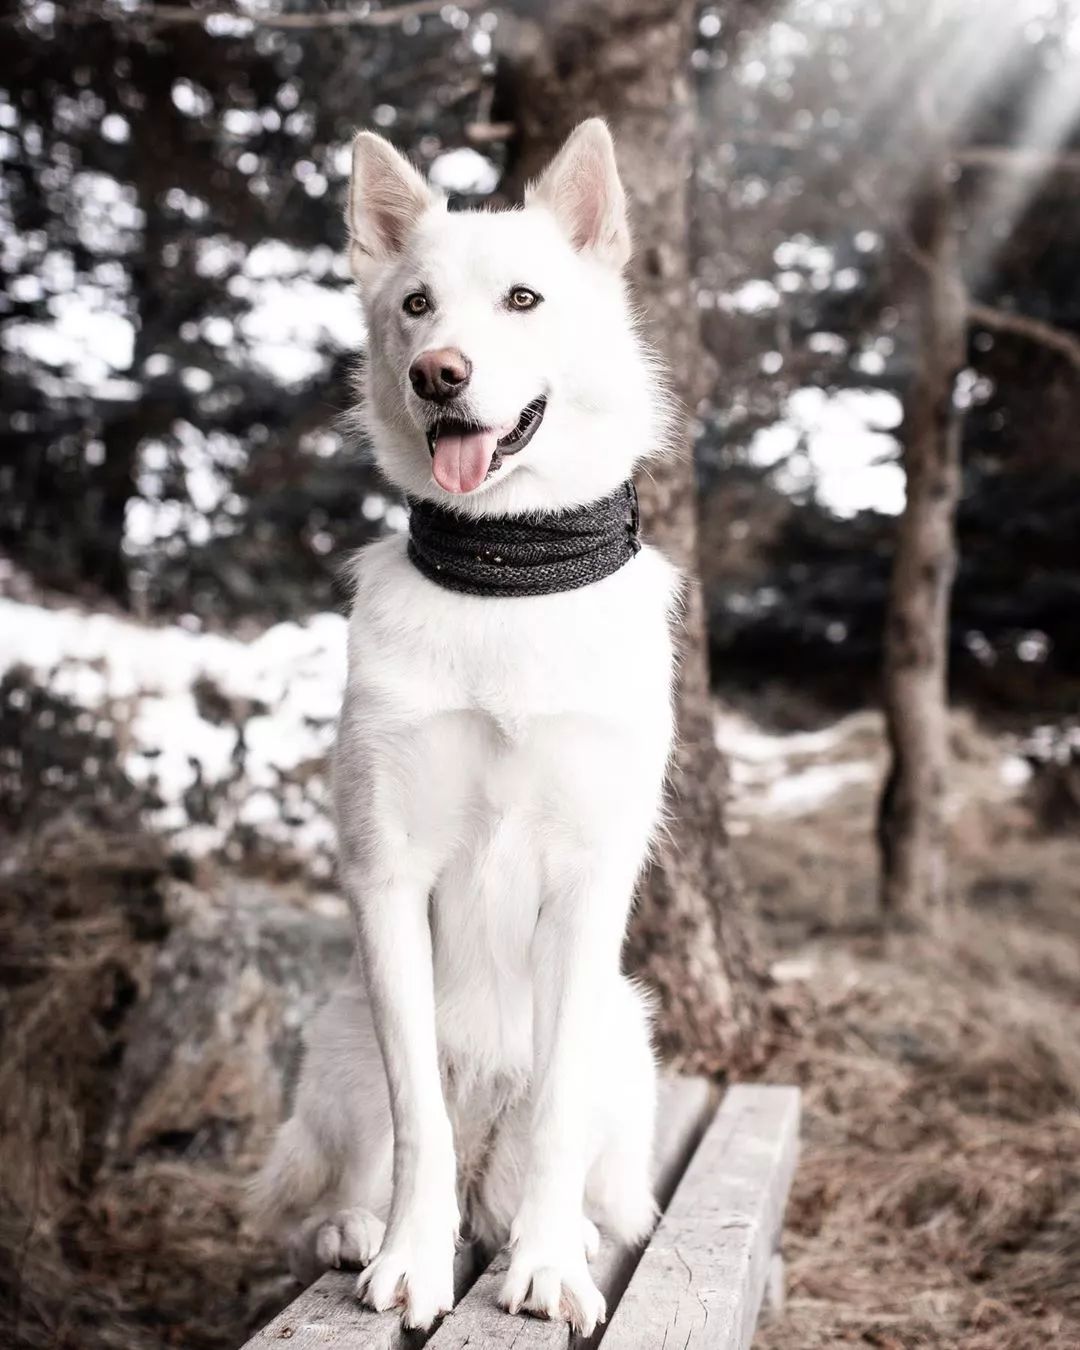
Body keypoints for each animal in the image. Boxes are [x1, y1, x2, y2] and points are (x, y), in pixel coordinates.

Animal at [253, 118, 680, 1339]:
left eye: (523, 299)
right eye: (415, 305)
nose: (438, 373)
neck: (506, 569)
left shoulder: (589, 884)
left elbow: (555, 1120)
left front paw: (544, 1266)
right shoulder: (388, 877)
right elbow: (419, 1129)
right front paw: (410, 1257)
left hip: (629, 1038)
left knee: (576, 1167)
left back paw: (566, 1230)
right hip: (340, 1036)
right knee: (353, 1174)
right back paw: (359, 1228)